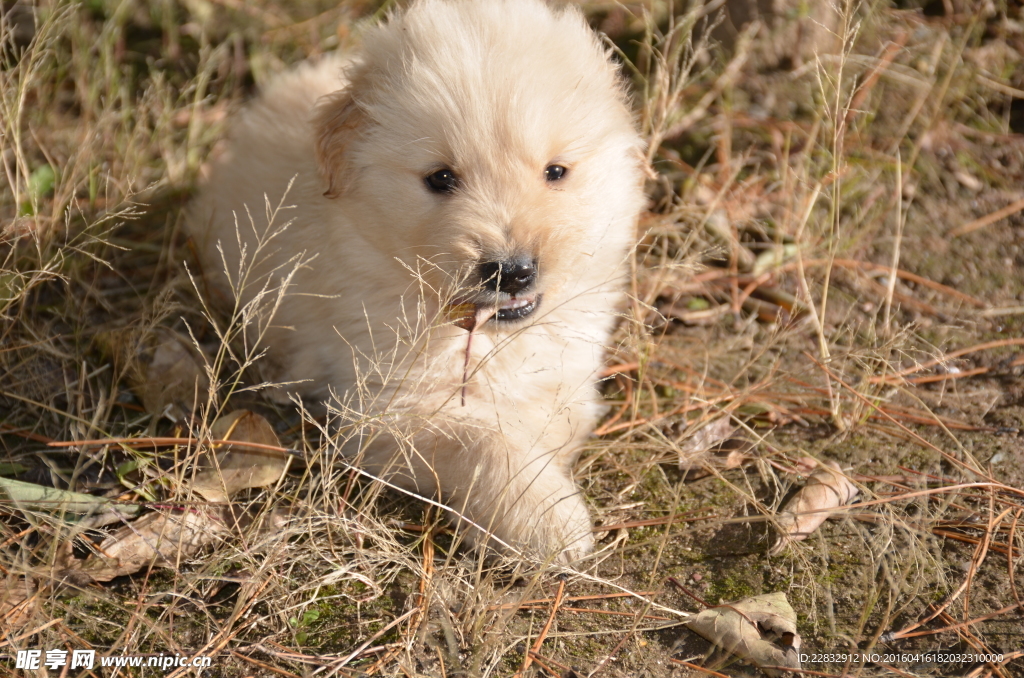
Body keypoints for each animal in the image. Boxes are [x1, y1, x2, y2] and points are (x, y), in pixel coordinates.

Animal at [188, 0, 643, 561]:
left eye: (556, 172)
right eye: (440, 178)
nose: (512, 270)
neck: (490, 334)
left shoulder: (570, 375)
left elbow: (545, 421)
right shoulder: (389, 411)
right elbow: (485, 440)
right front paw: (549, 520)